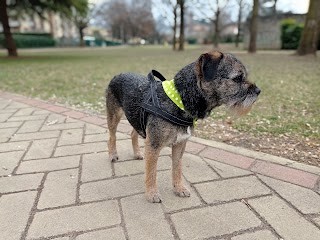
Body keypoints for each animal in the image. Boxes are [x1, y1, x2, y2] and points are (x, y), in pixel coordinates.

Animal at [106, 50, 262, 202]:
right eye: (237, 78)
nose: (258, 91)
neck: (179, 100)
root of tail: (117, 75)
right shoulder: (153, 145)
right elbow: (151, 172)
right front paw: (151, 193)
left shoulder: (179, 145)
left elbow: (177, 168)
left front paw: (179, 188)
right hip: (114, 116)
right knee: (112, 136)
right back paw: (113, 155)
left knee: (133, 133)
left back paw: (137, 153)